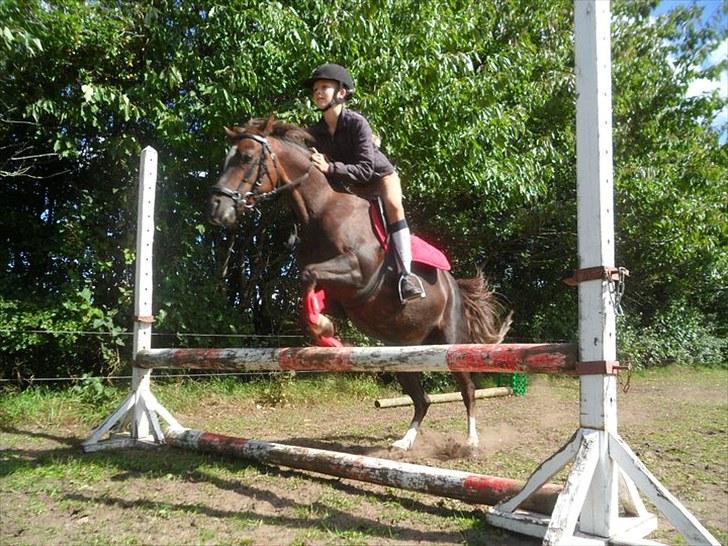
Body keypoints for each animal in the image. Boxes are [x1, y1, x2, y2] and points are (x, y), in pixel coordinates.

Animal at [208, 117, 510, 448]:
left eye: (246, 157)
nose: (216, 209)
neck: (322, 208)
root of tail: (454, 286)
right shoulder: (339, 293)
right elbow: (309, 287)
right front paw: (325, 331)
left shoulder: (358, 273)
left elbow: (307, 275)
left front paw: (323, 329)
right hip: (402, 352)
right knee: (422, 399)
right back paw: (404, 442)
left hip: (451, 342)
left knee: (467, 388)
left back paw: (471, 442)